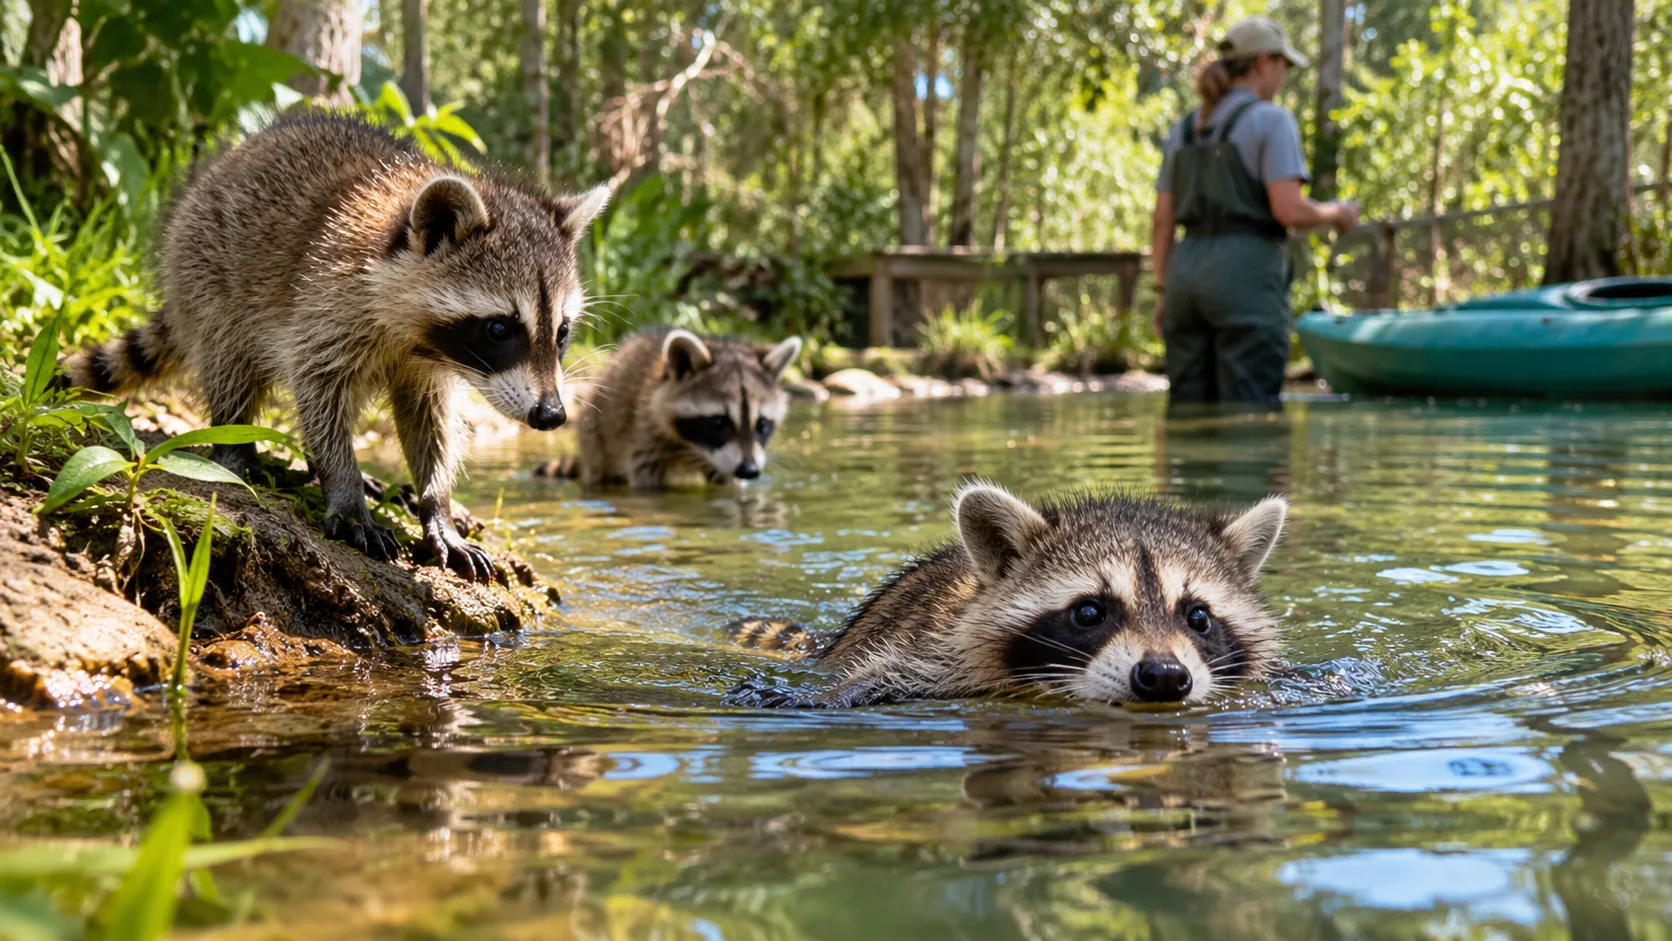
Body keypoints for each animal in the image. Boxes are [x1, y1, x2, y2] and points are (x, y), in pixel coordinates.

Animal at [68, 112, 610, 580]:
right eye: (500, 329)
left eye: (561, 332)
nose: (552, 415)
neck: (418, 339)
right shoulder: (329, 301)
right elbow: (317, 389)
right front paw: (345, 490)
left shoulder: (425, 365)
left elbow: (428, 422)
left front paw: (437, 505)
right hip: (206, 273)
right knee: (231, 363)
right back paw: (235, 442)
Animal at [553, 327, 801, 487]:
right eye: (719, 422)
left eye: (762, 424)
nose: (749, 471)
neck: (690, 446)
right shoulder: (643, 429)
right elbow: (646, 481)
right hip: (596, 433)